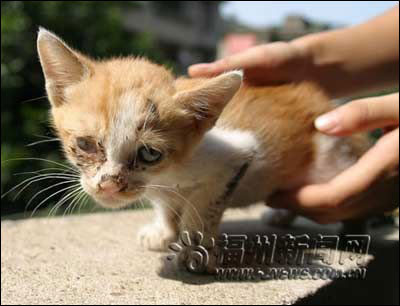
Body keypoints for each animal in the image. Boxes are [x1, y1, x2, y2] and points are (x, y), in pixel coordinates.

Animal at [36, 28, 368, 252]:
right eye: (85, 144)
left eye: (150, 154)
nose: (109, 185)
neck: (167, 175)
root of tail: (325, 105)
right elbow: (166, 206)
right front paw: (163, 232)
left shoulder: (235, 155)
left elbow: (203, 203)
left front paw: (194, 246)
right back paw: (282, 214)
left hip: (334, 158)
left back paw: (353, 233)